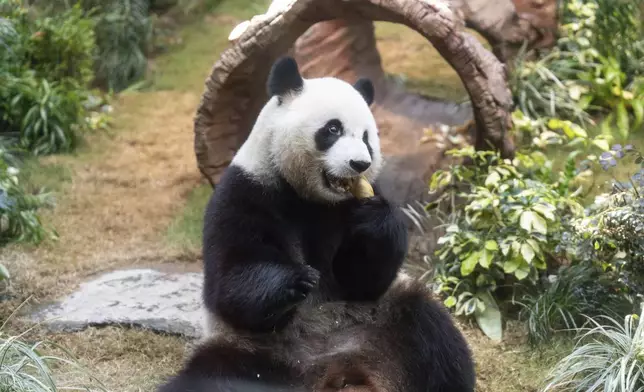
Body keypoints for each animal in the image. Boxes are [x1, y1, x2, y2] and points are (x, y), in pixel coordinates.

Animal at [157, 56, 472, 392]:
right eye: (333, 128)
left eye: (366, 137)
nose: (360, 164)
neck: (311, 196)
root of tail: (337, 369)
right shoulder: (246, 191)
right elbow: (233, 279)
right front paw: (298, 278)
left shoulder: (348, 208)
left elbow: (362, 280)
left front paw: (375, 218)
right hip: (250, 351)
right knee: (214, 378)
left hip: (383, 321)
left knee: (434, 338)